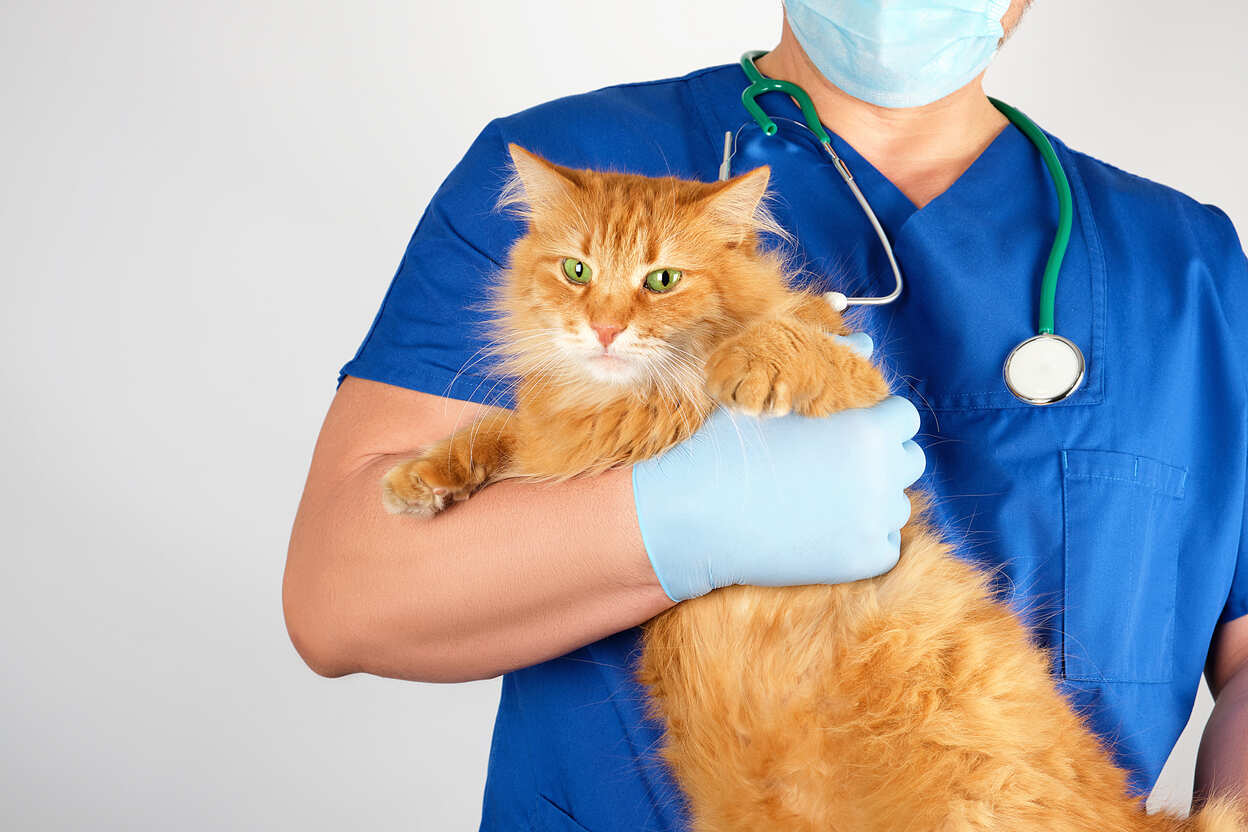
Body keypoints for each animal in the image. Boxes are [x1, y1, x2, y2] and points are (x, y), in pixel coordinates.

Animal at [381, 146, 1248, 828]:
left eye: (662, 279)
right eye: (576, 271)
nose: (603, 330)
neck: (643, 411)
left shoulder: (863, 395)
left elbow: (790, 343)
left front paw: (741, 357)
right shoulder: (560, 441)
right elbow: (499, 430)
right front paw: (419, 477)